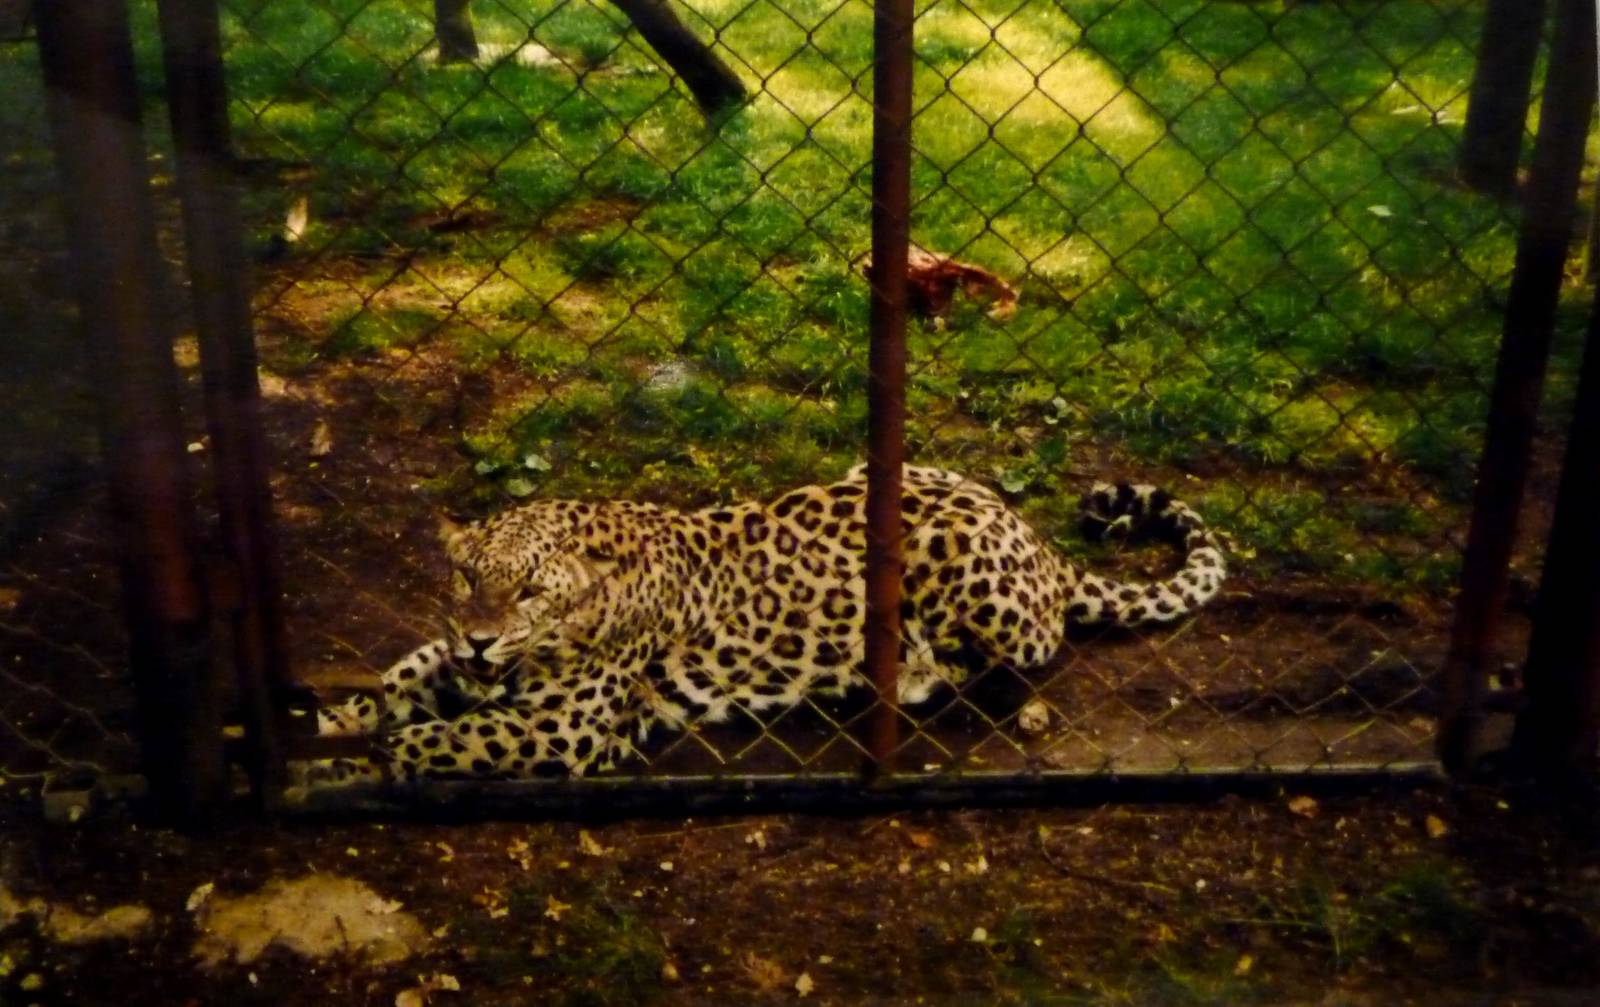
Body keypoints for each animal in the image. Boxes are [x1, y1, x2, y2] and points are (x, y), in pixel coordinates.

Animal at [303, 465, 1226, 785]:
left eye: (529, 591)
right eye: (468, 579)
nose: (485, 637)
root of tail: (1035, 536)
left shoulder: (562, 726)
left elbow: (435, 740)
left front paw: (354, 763)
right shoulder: (455, 661)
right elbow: (396, 681)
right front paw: (329, 723)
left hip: (958, 570)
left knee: (1012, 657)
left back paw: (901, 679)